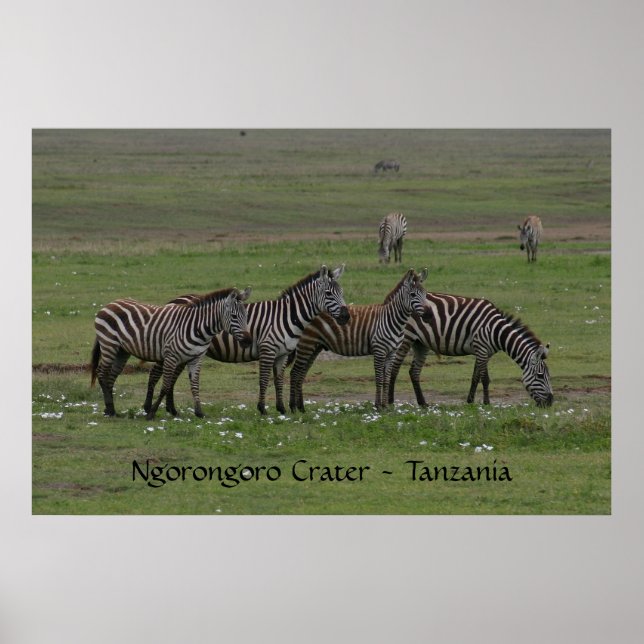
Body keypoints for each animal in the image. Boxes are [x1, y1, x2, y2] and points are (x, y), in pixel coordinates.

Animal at [91, 287, 252, 420]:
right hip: (109, 345)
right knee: (101, 373)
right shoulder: (171, 357)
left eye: (246, 315)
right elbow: (166, 386)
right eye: (234, 316)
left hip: (122, 351)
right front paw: (152, 413)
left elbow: (195, 385)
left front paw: (199, 412)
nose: (248, 341)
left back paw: (110, 409)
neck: (198, 328)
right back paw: (110, 409)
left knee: (111, 376)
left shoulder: (196, 359)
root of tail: (111, 303)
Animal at [144, 265, 350, 416]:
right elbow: (264, 380)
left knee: (172, 376)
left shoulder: (282, 354)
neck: (287, 316)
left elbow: (278, 380)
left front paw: (282, 409)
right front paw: (263, 409)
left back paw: (171, 409)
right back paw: (148, 407)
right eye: (329, 294)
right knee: (155, 373)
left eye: (342, 292)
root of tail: (173, 300)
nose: (346, 317)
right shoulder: (268, 350)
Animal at [289, 268, 430, 412]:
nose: (427, 314)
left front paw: (385, 406)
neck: (391, 319)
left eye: (425, 294)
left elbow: (386, 379)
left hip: (314, 346)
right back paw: (293, 407)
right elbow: (379, 378)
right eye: (412, 294)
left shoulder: (392, 352)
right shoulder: (379, 350)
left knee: (301, 374)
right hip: (306, 344)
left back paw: (301, 408)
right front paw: (378, 406)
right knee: (295, 373)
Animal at [387, 292, 553, 408]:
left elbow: (476, 377)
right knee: (394, 368)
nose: (551, 402)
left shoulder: (483, 352)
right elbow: (485, 379)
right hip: (406, 338)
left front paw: (470, 401)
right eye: (540, 376)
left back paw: (423, 403)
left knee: (414, 372)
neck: (496, 331)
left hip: (420, 343)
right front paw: (486, 403)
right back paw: (390, 401)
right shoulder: (482, 349)